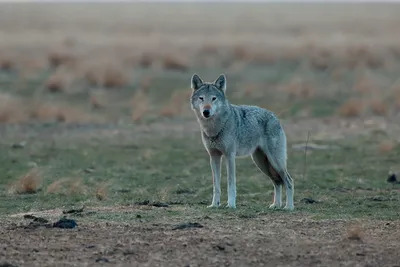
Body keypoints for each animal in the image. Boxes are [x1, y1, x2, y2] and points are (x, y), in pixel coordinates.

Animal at [189, 74, 296, 211]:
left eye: (213, 98)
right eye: (201, 98)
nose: (206, 112)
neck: (214, 129)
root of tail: (274, 116)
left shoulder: (230, 156)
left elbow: (231, 183)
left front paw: (231, 205)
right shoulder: (214, 157)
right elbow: (216, 185)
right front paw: (214, 204)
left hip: (275, 162)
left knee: (288, 180)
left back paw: (289, 207)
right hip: (262, 163)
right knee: (277, 182)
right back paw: (275, 205)